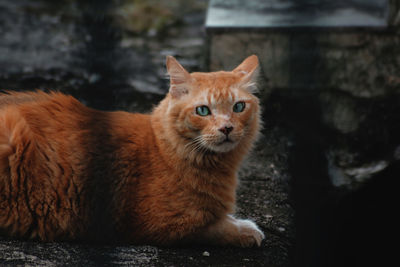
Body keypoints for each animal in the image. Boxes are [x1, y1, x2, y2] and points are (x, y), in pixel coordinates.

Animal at [0, 55, 264, 248]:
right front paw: (247, 230)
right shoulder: (165, 225)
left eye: (238, 107)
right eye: (203, 111)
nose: (227, 128)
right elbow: (217, 228)